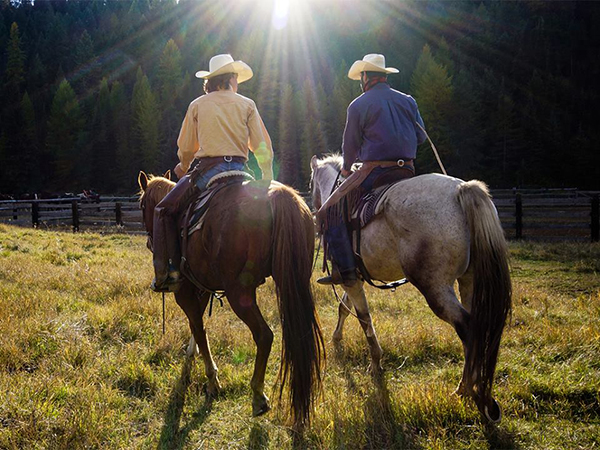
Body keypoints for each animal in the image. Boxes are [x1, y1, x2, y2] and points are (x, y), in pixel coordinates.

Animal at [137, 172, 324, 428]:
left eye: (142, 205)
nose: (149, 242)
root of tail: (279, 197)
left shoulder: (184, 292)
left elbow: (199, 328)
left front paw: (211, 379)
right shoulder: (202, 287)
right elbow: (197, 327)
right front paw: (193, 353)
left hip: (240, 293)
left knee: (264, 336)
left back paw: (258, 396)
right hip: (295, 282)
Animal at [310, 155, 510, 422]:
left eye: (311, 184)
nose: (315, 211)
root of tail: (461, 189)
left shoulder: (350, 278)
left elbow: (364, 318)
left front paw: (375, 363)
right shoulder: (354, 276)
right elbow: (345, 308)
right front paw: (337, 337)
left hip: (435, 287)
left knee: (466, 327)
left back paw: (466, 389)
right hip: (468, 280)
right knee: (475, 327)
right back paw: (475, 389)